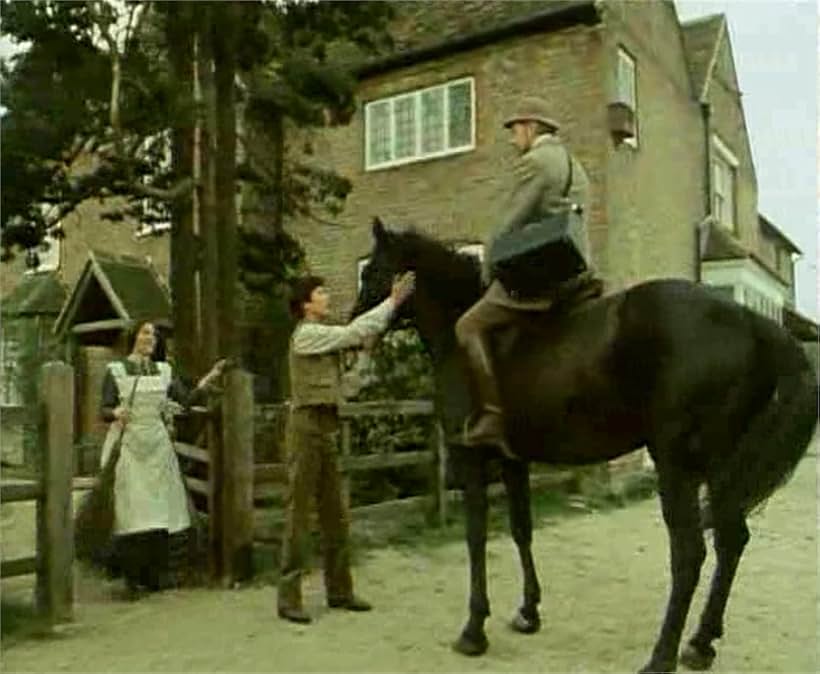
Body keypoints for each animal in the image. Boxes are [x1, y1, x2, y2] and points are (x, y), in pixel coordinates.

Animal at [354, 218, 820, 668]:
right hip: (720, 470)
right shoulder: (513, 461)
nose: (357, 323)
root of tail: (750, 322)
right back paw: (700, 643)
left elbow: (476, 537)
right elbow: (521, 530)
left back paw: (662, 656)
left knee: (690, 553)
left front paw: (473, 629)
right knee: (730, 540)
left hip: (677, 467)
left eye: (372, 270)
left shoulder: (472, 458)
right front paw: (528, 612)